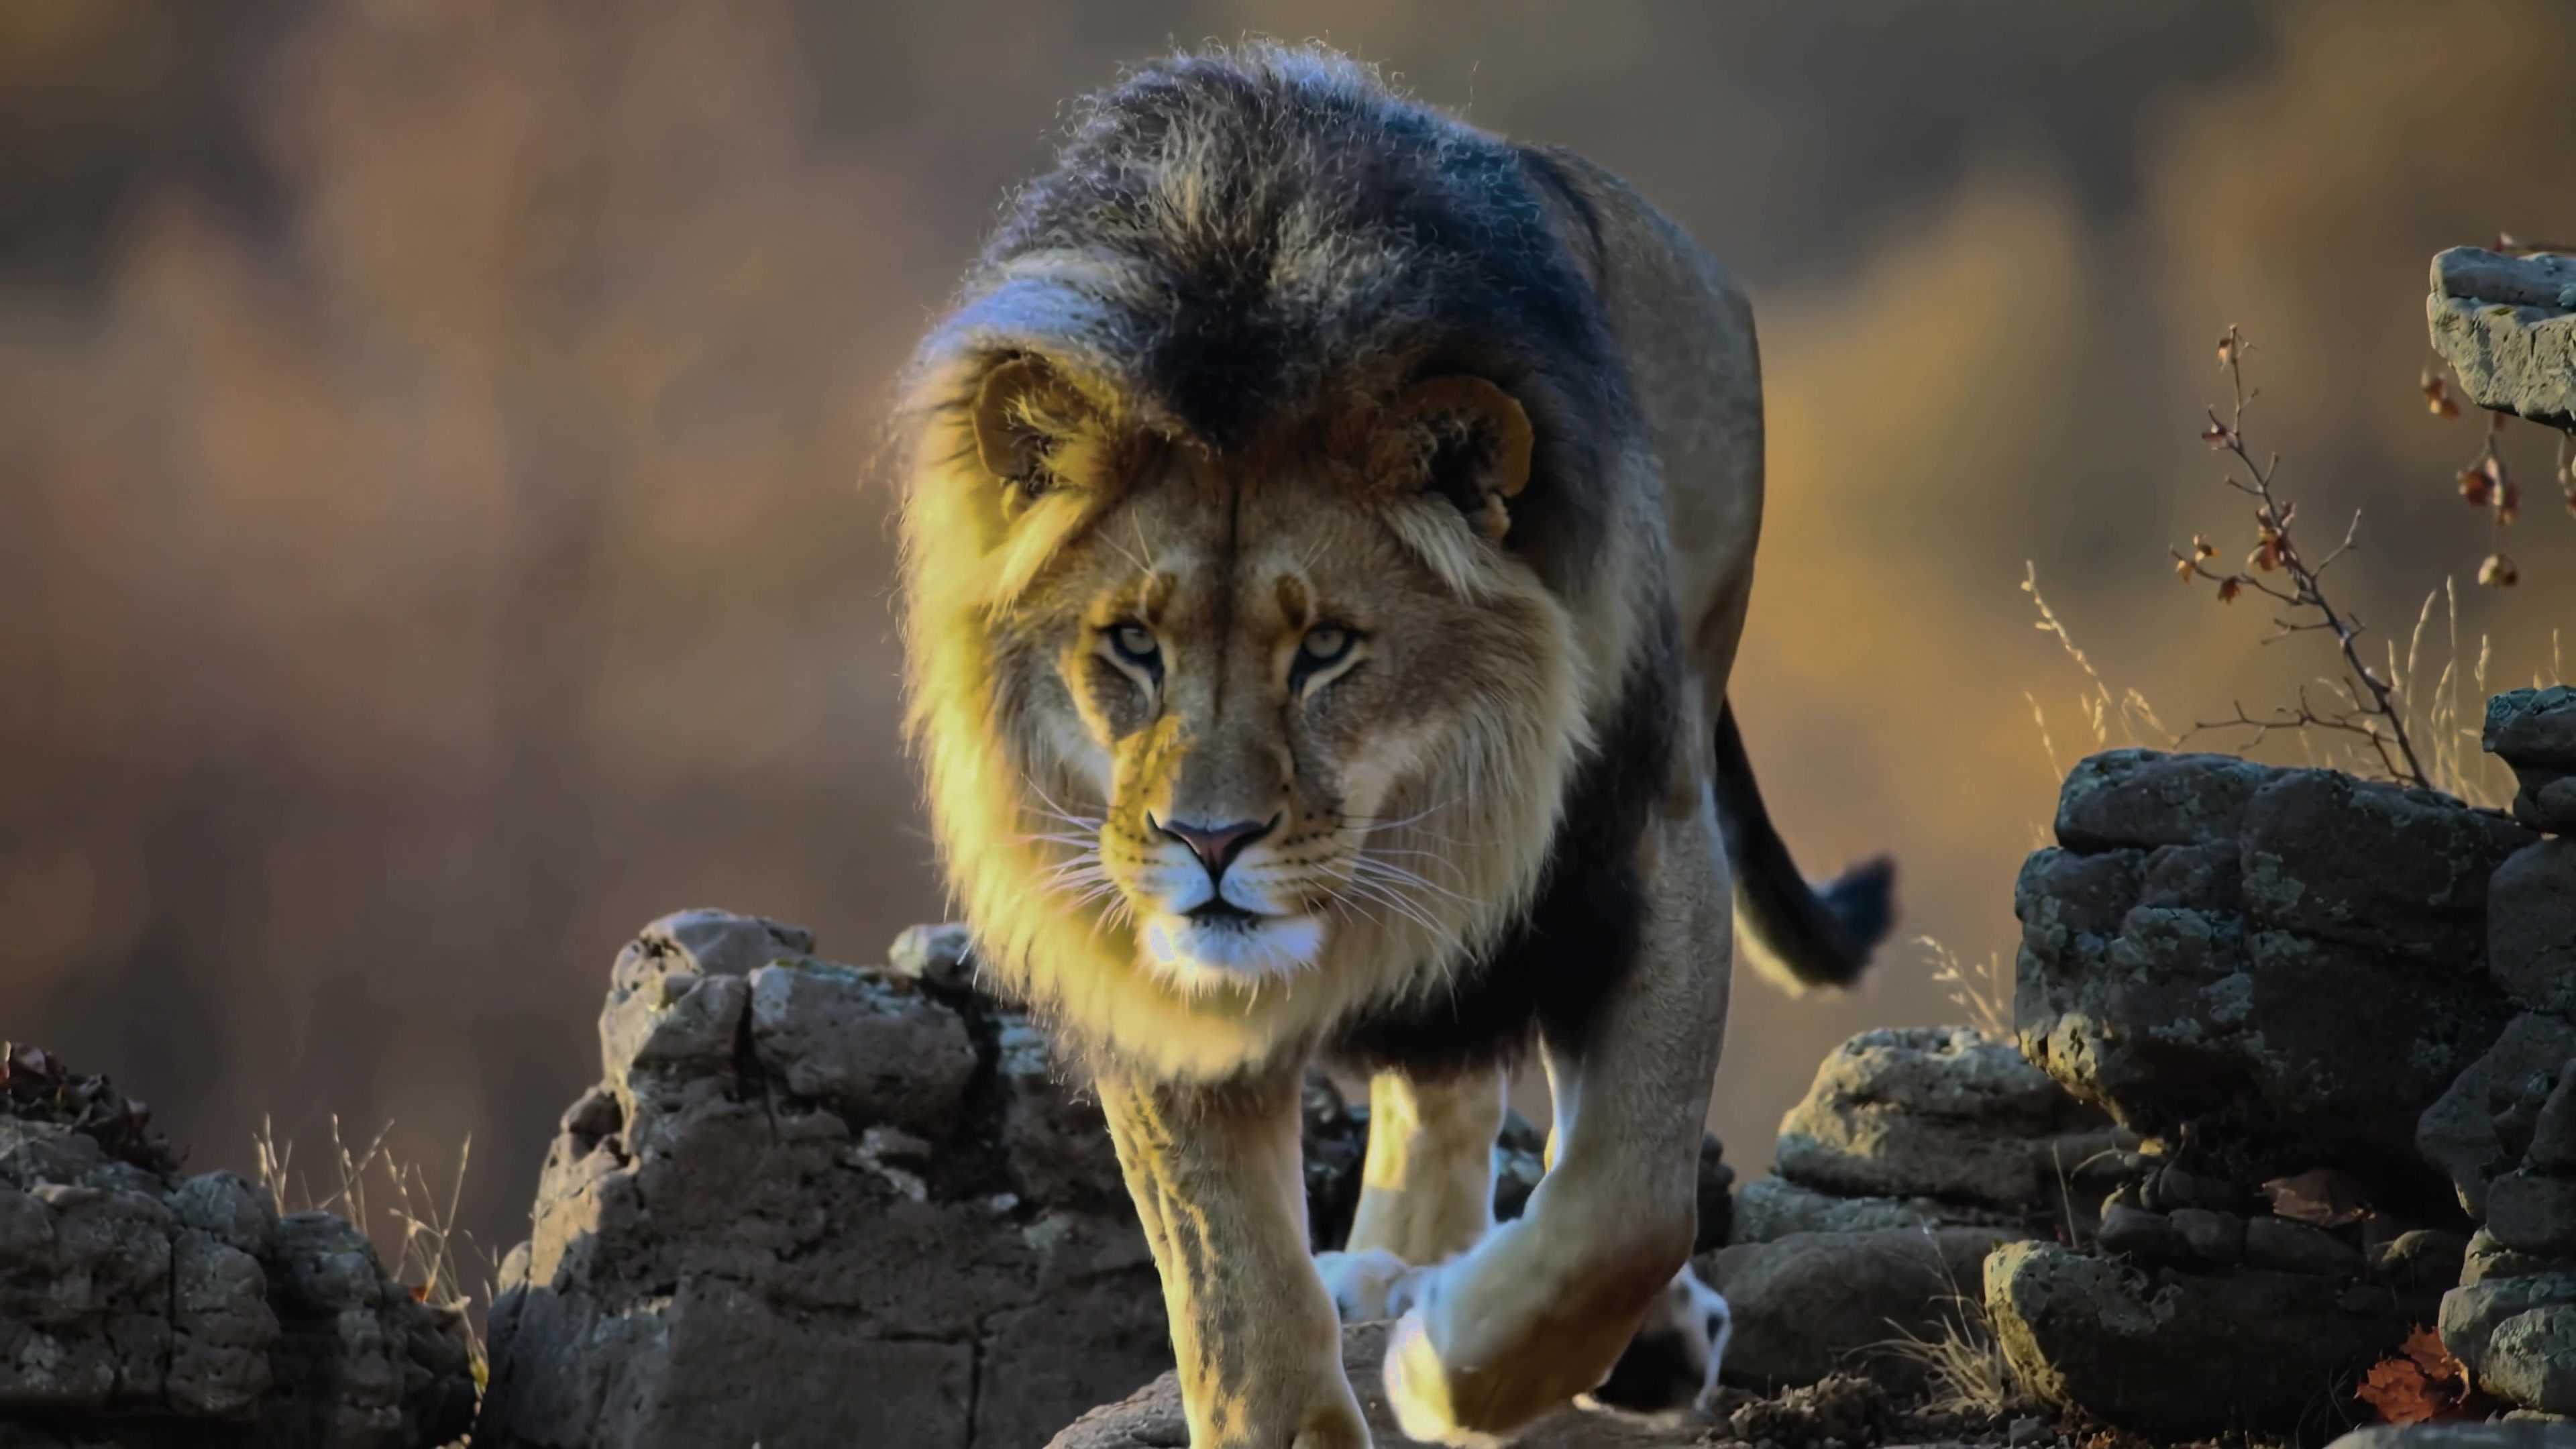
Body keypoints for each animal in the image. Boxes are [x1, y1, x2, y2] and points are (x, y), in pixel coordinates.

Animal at [895, 45, 1894, 1447]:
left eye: (1327, 648)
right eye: (1132, 644)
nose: (1206, 842)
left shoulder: (1647, 847)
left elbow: (1629, 1203)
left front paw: (1452, 1367)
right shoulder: (1144, 964)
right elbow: (1236, 1306)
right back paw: (1392, 1271)